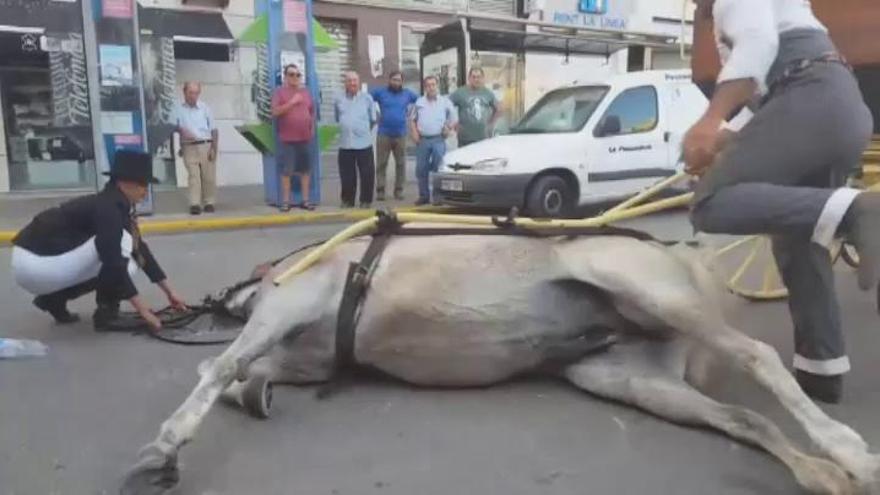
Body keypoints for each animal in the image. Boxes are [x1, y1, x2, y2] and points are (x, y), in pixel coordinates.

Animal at [120, 233, 876, 495]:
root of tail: (674, 251)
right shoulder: (299, 355)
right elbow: (242, 375)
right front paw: (249, 398)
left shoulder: (291, 305)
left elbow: (218, 370)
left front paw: (162, 448)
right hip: (630, 377)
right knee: (744, 419)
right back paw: (822, 473)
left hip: (643, 291)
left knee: (758, 354)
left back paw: (850, 452)